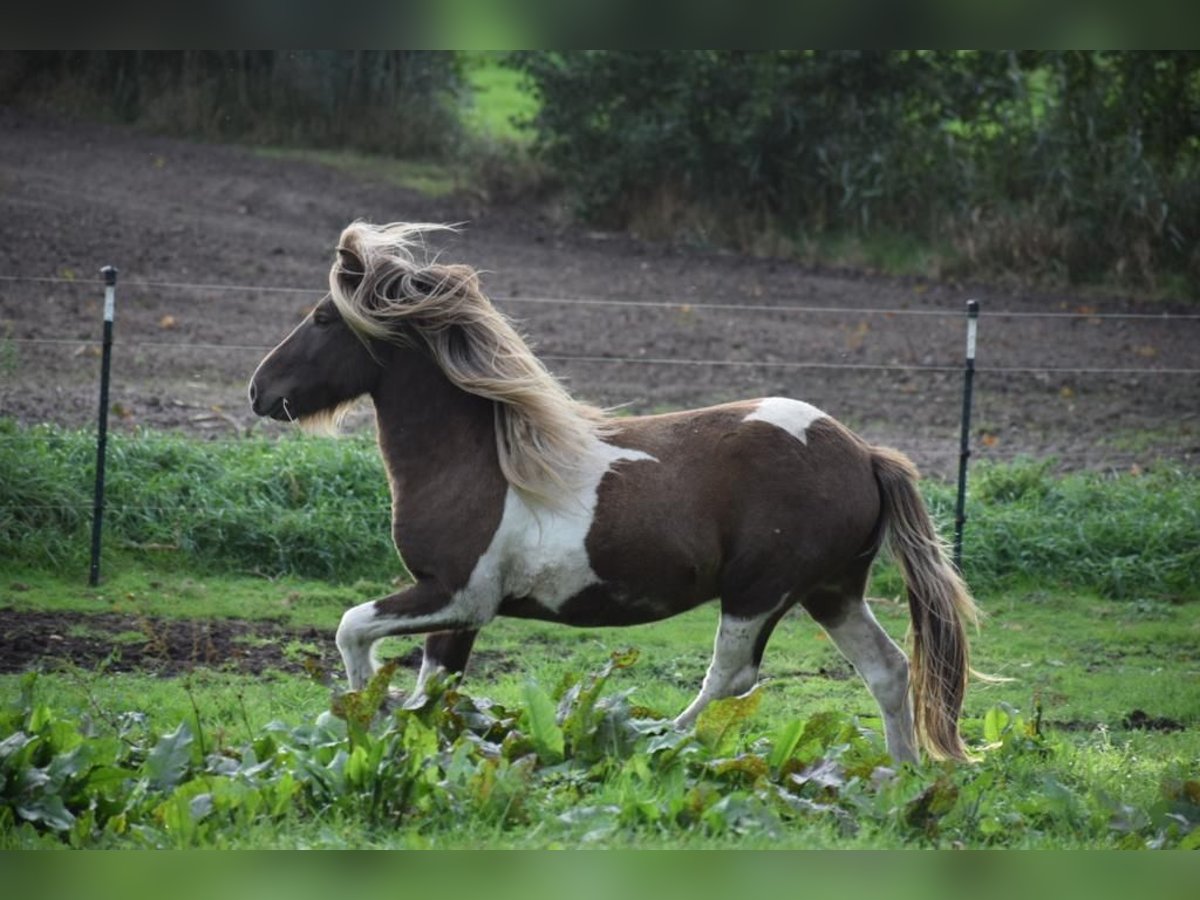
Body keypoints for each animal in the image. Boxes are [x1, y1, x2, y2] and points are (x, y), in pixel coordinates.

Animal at [248, 222, 979, 763]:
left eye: (323, 317)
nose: (259, 391)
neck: (474, 463)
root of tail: (863, 453)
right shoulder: (459, 613)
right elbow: (437, 688)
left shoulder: (458, 593)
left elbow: (351, 629)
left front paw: (367, 718)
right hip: (830, 592)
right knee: (888, 669)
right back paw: (901, 780)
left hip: (761, 590)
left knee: (732, 676)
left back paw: (656, 739)